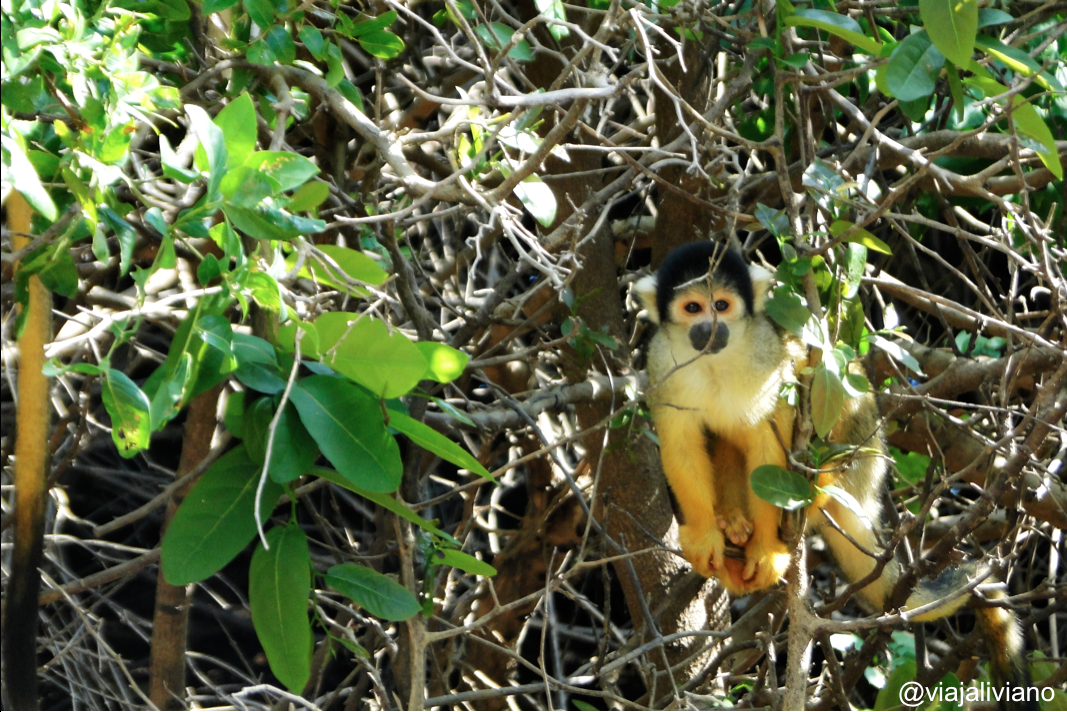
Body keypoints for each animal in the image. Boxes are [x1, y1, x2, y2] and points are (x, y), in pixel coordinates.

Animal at [634, 240, 1030, 692]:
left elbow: (772, 441)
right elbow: (681, 444)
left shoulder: (767, 360)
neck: (717, 362)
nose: (710, 329)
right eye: (693, 307)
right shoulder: (661, 364)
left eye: (721, 305)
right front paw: (705, 536)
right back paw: (732, 522)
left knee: (833, 374)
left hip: (864, 451)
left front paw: (767, 549)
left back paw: (813, 494)